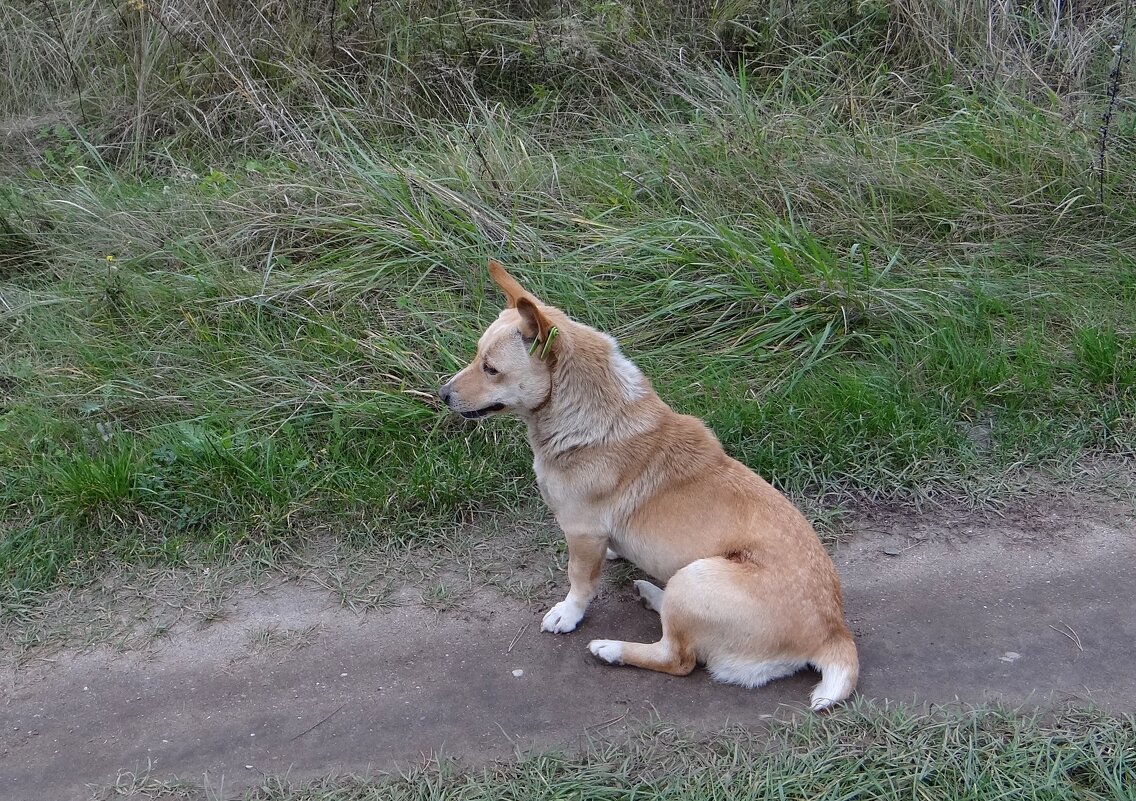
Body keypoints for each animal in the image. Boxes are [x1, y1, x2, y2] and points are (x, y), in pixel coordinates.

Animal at [438, 261, 854, 704]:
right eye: (477, 357)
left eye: (491, 369)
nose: (442, 394)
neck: (587, 417)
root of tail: (834, 635)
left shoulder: (582, 534)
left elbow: (579, 583)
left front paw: (568, 614)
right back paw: (654, 595)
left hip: (695, 579)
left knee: (678, 658)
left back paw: (612, 648)